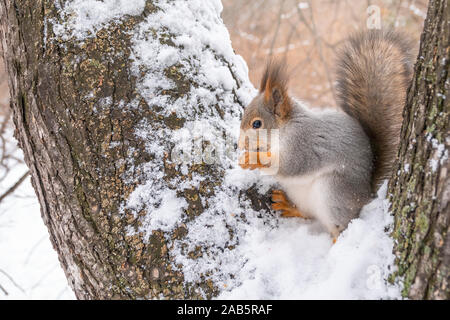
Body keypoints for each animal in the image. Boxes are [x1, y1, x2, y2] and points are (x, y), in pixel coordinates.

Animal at [239, 30, 414, 241]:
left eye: (256, 124)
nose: (240, 144)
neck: (285, 128)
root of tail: (366, 195)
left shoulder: (303, 143)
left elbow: (290, 165)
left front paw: (254, 159)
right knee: (308, 213)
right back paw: (288, 205)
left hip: (333, 192)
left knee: (340, 225)